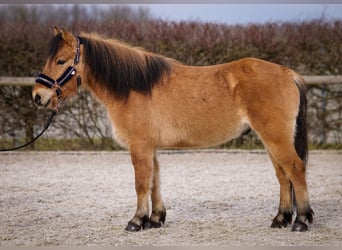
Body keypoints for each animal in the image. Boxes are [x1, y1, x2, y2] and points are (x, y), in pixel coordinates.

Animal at [32, 27, 312, 232]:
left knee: (295, 169)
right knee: (282, 176)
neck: (133, 87)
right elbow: (155, 181)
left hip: (276, 139)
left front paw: (136, 221)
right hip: (270, 140)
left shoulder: (140, 146)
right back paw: (280, 219)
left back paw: (301, 220)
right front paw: (155, 219)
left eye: (60, 61)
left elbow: (141, 183)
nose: (37, 96)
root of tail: (287, 73)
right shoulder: (150, 148)